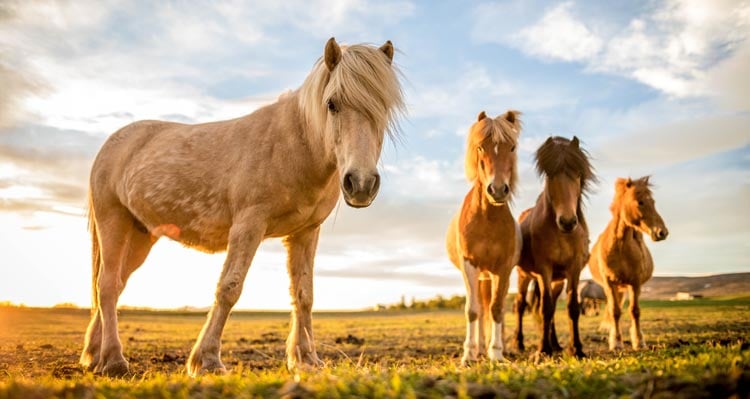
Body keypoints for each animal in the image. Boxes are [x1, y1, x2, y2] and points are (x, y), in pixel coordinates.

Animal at [81, 38, 406, 378]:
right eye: (332, 104)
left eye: (383, 107)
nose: (361, 183)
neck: (294, 145)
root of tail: (113, 143)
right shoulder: (249, 225)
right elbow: (229, 288)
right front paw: (207, 359)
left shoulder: (305, 233)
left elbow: (304, 294)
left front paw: (306, 359)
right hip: (113, 222)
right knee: (107, 286)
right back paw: (113, 360)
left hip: (140, 236)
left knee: (114, 285)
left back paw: (94, 355)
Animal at [446, 109, 524, 366]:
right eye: (480, 147)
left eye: (512, 147)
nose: (497, 190)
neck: (487, 219)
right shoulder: (469, 265)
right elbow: (473, 310)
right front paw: (468, 354)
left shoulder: (503, 269)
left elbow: (497, 309)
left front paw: (496, 352)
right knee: (479, 309)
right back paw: (478, 348)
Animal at [516, 138, 596, 360]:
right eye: (549, 175)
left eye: (577, 174)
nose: (567, 222)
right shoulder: (544, 269)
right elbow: (545, 308)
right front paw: (543, 350)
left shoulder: (573, 269)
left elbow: (571, 307)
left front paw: (576, 348)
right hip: (523, 276)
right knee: (520, 305)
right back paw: (519, 343)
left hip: (557, 280)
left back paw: (556, 344)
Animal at [592, 177, 672, 350]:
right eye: (640, 202)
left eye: (653, 201)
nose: (662, 232)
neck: (620, 247)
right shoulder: (609, 283)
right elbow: (615, 311)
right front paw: (616, 342)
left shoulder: (635, 282)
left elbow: (634, 311)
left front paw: (639, 341)